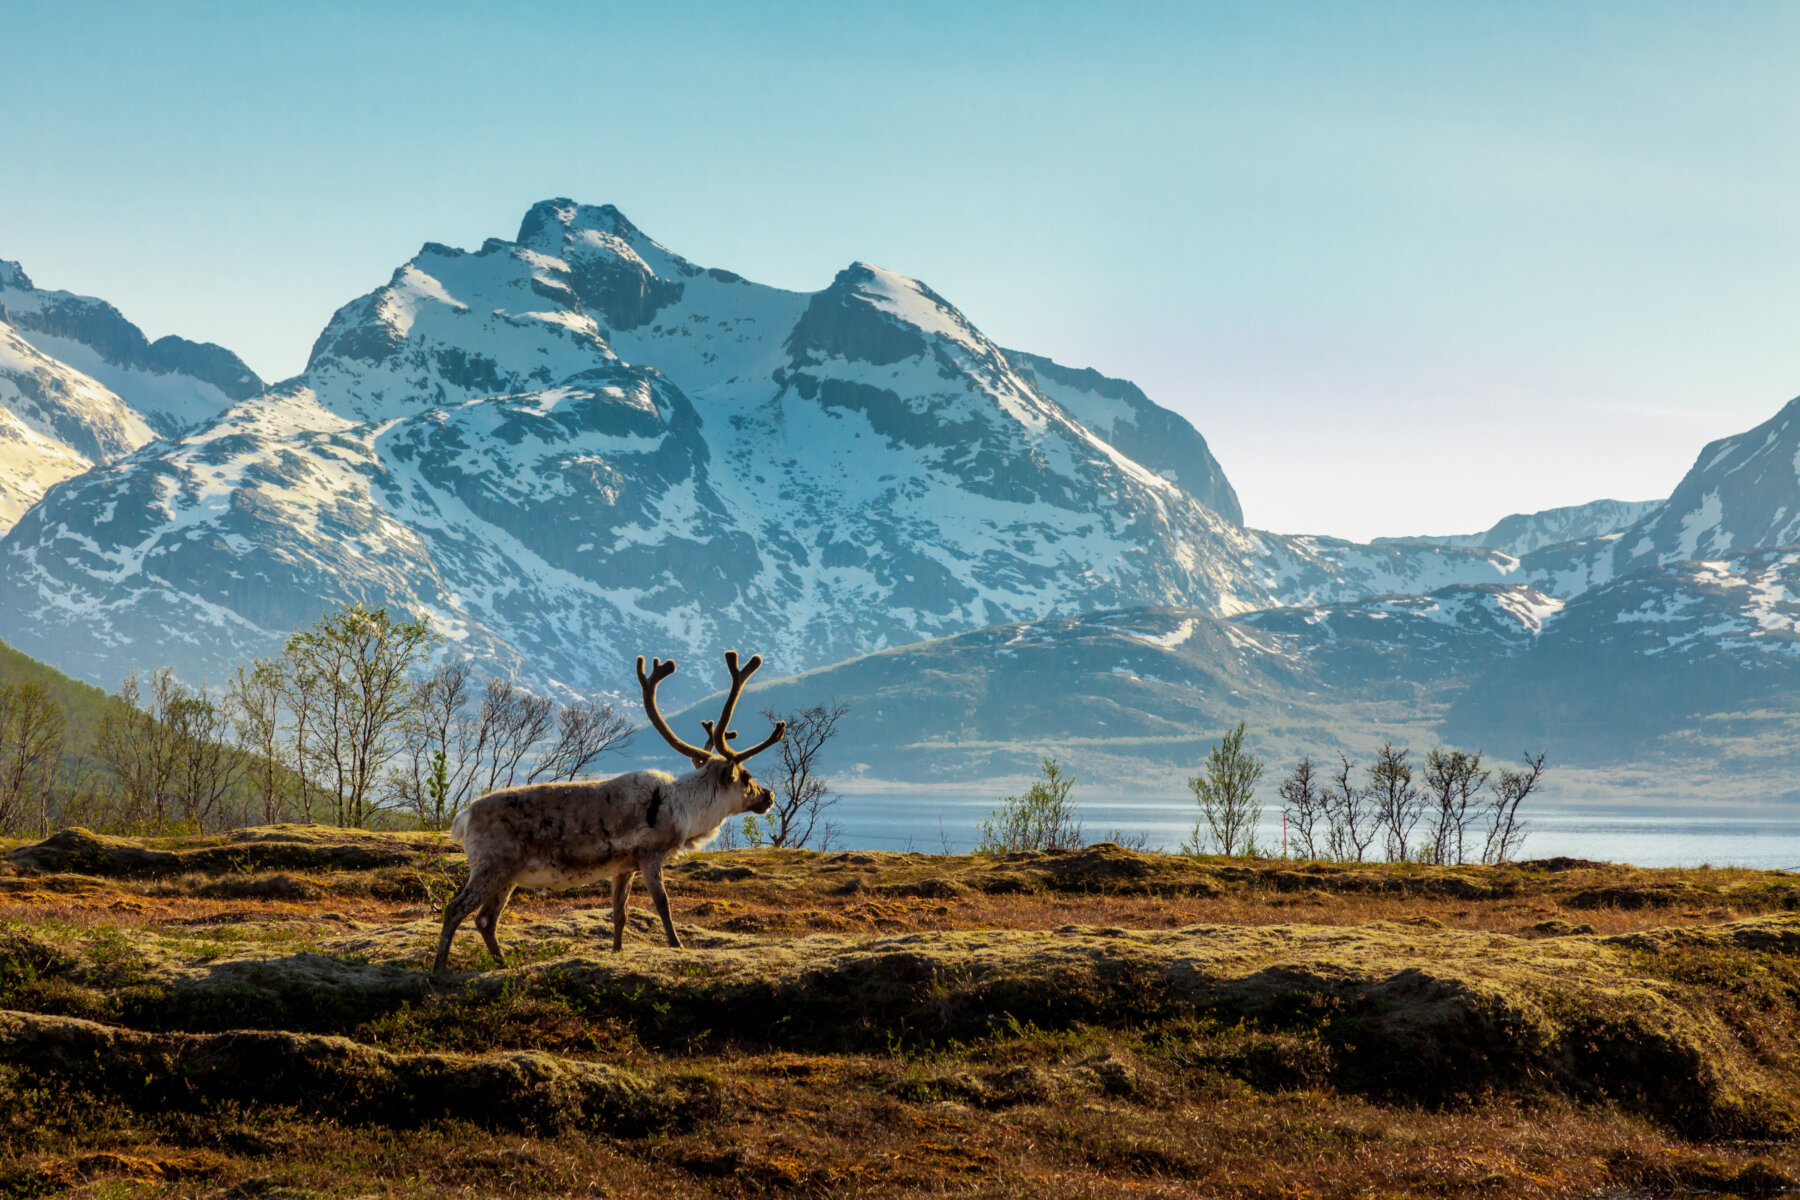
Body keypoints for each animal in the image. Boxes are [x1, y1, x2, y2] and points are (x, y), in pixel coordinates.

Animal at [432, 650, 786, 973]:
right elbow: (663, 905)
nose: (769, 796)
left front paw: (616, 952)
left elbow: (619, 914)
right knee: (455, 909)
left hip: (508, 876)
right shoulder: (650, 854)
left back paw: (503, 964)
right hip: (491, 865)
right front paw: (677, 946)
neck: (685, 808)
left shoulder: (624, 866)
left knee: (485, 920)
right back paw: (439, 969)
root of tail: (462, 818)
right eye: (747, 777)